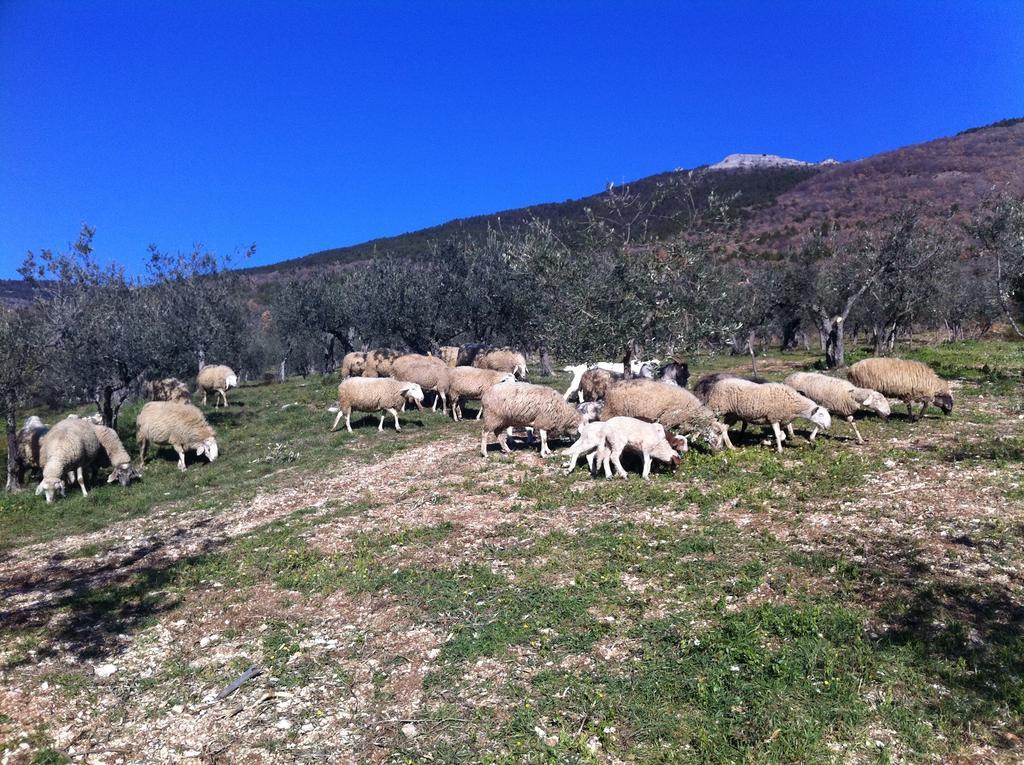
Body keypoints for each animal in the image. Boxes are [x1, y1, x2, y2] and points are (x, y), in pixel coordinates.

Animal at [700, 380, 835, 452]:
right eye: (821, 414)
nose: (828, 426)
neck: (794, 405)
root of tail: (715, 385)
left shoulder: (781, 420)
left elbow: (781, 435)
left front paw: (767, 442)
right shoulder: (773, 417)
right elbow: (778, 435)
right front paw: (779, 450)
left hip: (732, 415)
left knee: (723, 428)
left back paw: (729, 446)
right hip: (716, 408)